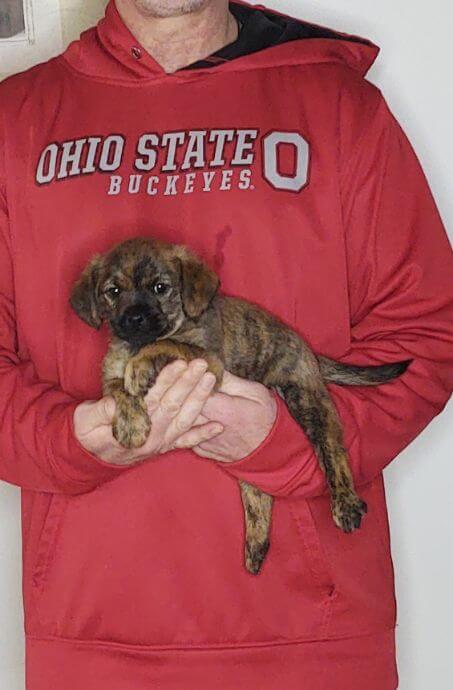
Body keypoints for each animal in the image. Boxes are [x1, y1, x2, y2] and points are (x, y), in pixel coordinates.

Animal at [70, 239, 410, 572]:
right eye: (113, 291)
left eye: (160, 288)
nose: (135, 319)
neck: (137, 343)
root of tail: (309, 352)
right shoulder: (111, 377)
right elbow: (119, 391)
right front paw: (131, 423)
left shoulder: (208, 361)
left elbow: (168, 343)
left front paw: (142, 365)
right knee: (259, 489)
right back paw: (257, 545)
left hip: (308, 402)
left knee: (332, 449)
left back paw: (345, 503)